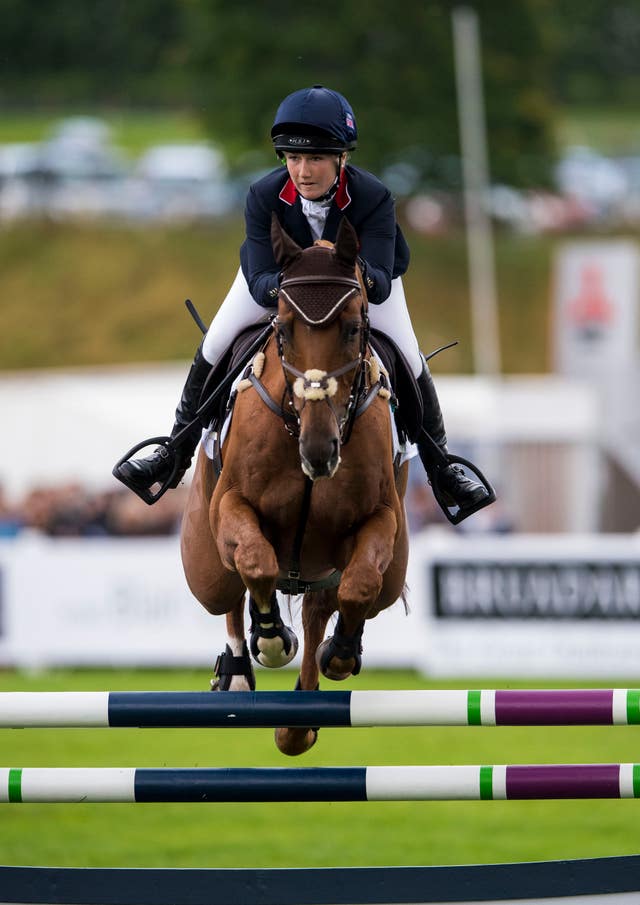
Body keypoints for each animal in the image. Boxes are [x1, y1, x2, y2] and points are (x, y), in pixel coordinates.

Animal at [179, 217, 410, 756]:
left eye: (353, 328)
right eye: (282, 328)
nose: (319, 451)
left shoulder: (382, 518)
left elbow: (360, 585)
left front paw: (340, 653)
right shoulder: (231, 505)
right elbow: (254, 560)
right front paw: (269, 638)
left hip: (364, 572)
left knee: (329, 603)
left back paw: (299, 721)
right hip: (205, 567)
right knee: (229, 590)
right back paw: (237, 672)